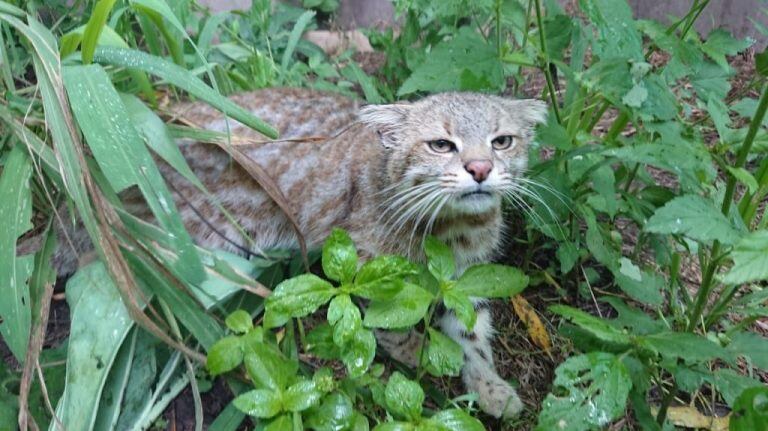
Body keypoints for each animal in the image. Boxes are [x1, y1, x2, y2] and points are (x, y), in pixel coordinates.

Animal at [51, 88, 548, 418]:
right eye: (441, 145)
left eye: (502, 141)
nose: (480, 169)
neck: (454, 229)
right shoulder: (364, 259)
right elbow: (382, 314)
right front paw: (412, 348)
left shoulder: (466, 278)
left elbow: (472, 334)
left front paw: (490, 386)